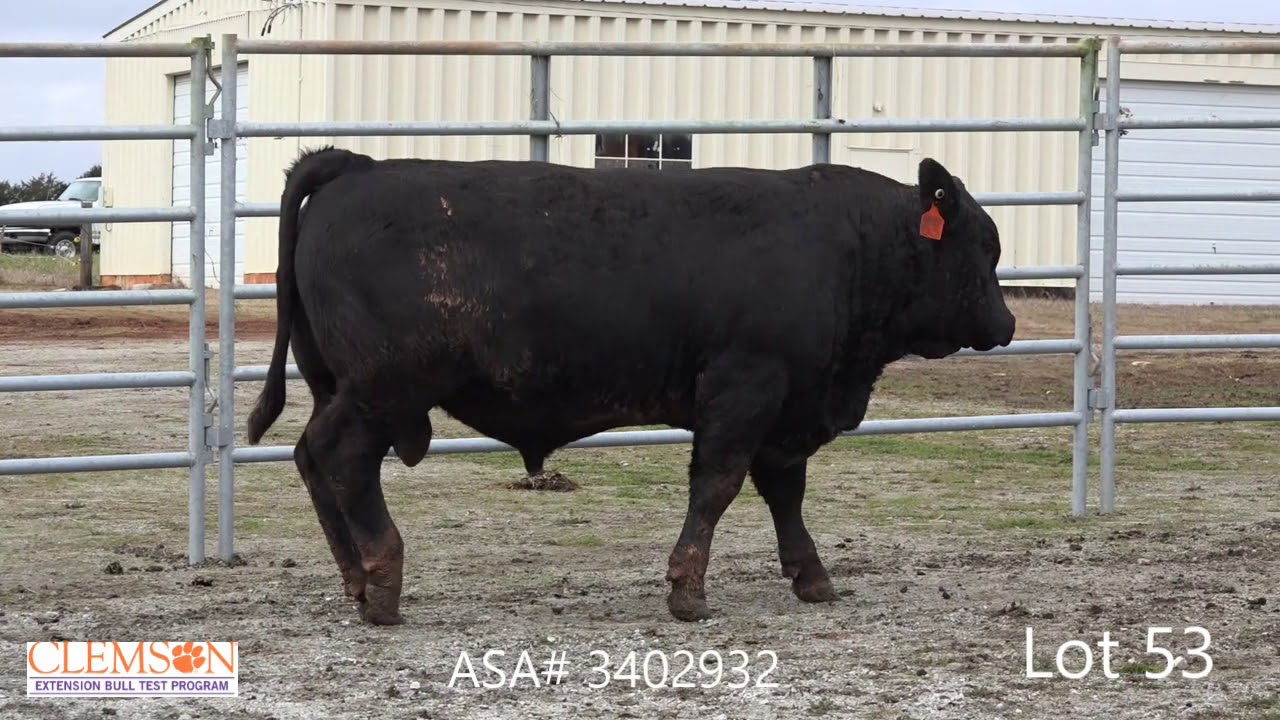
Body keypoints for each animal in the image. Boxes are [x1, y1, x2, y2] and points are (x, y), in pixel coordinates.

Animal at [246, 146, 1016, 626]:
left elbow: (784, 493)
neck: (845, 246)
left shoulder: (787, 409)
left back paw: (356, 582)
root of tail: (356, 167)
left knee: (312, 458)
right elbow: (716, 486)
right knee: (343, 458)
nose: (1006, 322)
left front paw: (812, 576)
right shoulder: (745, 387)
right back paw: (383, 582)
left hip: (338, 384)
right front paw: (688, 591)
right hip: (382, 388)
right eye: (986, 246)